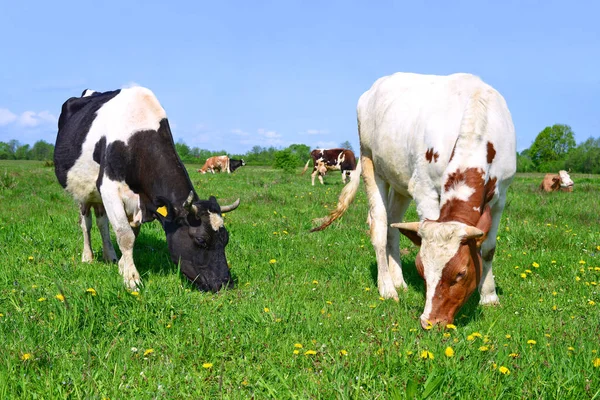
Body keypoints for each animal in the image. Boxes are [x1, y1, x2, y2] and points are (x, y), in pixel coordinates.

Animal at [54, 86, 240, 290]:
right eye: (201, 240)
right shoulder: (109, 187)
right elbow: (125, 235)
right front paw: (132, 279)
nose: (225, 283)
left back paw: (110, 256)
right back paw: (87, 256)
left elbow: (132, 234)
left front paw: (122, 267)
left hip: (97, 196)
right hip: (83, 191)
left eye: (226, 239)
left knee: (102, 223)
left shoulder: (138, 202)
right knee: (86, 223)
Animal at [314, 72, 516, 328]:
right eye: (422, 270)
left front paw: (489, 296)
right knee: (379, 226)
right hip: (370, 161)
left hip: (400, 182)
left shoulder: (500, 197)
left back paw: (398, 280)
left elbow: (488, 248)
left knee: (393, 226)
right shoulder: (424, 188)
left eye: (461, 273)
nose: (431, 321)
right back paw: (388, 287)